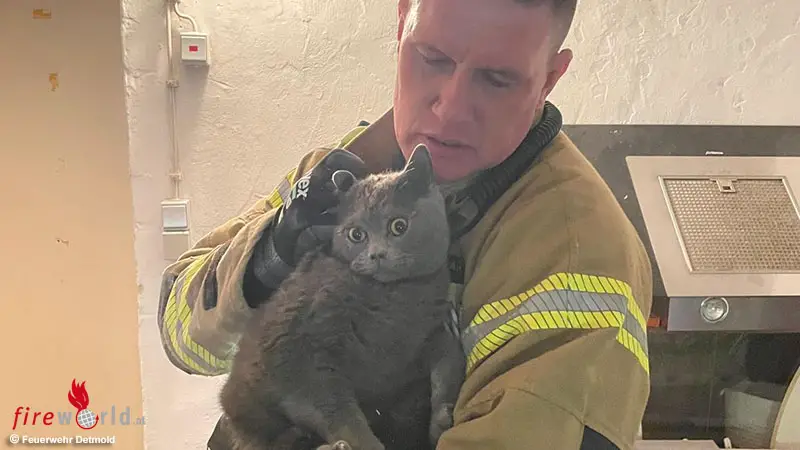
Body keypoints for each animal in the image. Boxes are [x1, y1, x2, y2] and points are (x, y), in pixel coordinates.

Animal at [217, 144, 466, 450]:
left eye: (399, 226)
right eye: (356, 234)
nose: (377, 254)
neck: (391, 301)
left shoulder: (431, 332)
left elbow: (449, 363)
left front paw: (442, 419)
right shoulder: (300, 358)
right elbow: (338, 413)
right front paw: (364, 443)